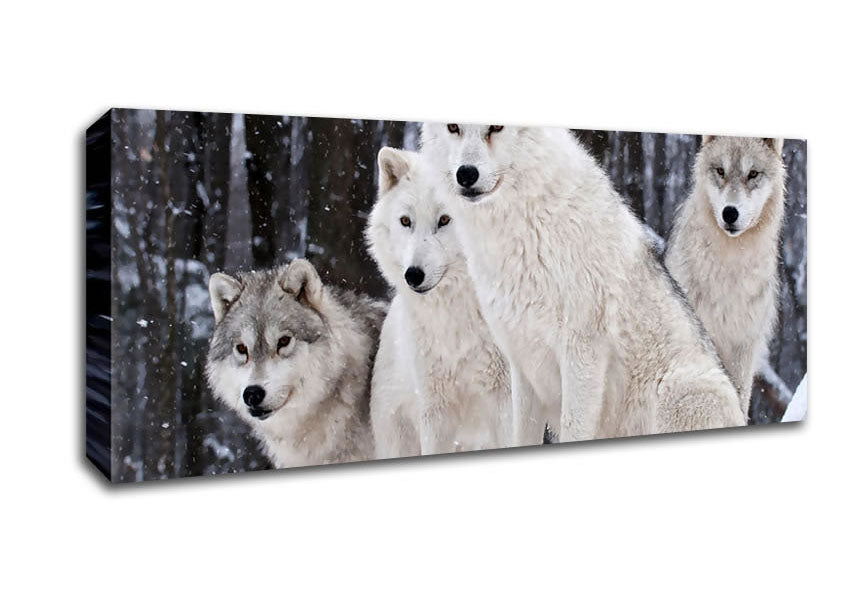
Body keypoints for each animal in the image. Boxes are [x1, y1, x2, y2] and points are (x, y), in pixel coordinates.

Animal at [420, 123, 745, 445]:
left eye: (496, 128)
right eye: (453, 127)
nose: (466, 174)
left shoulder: (583, 352)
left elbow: (573, 426)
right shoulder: (523, 362)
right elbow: (520, 435)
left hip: (682, 391)